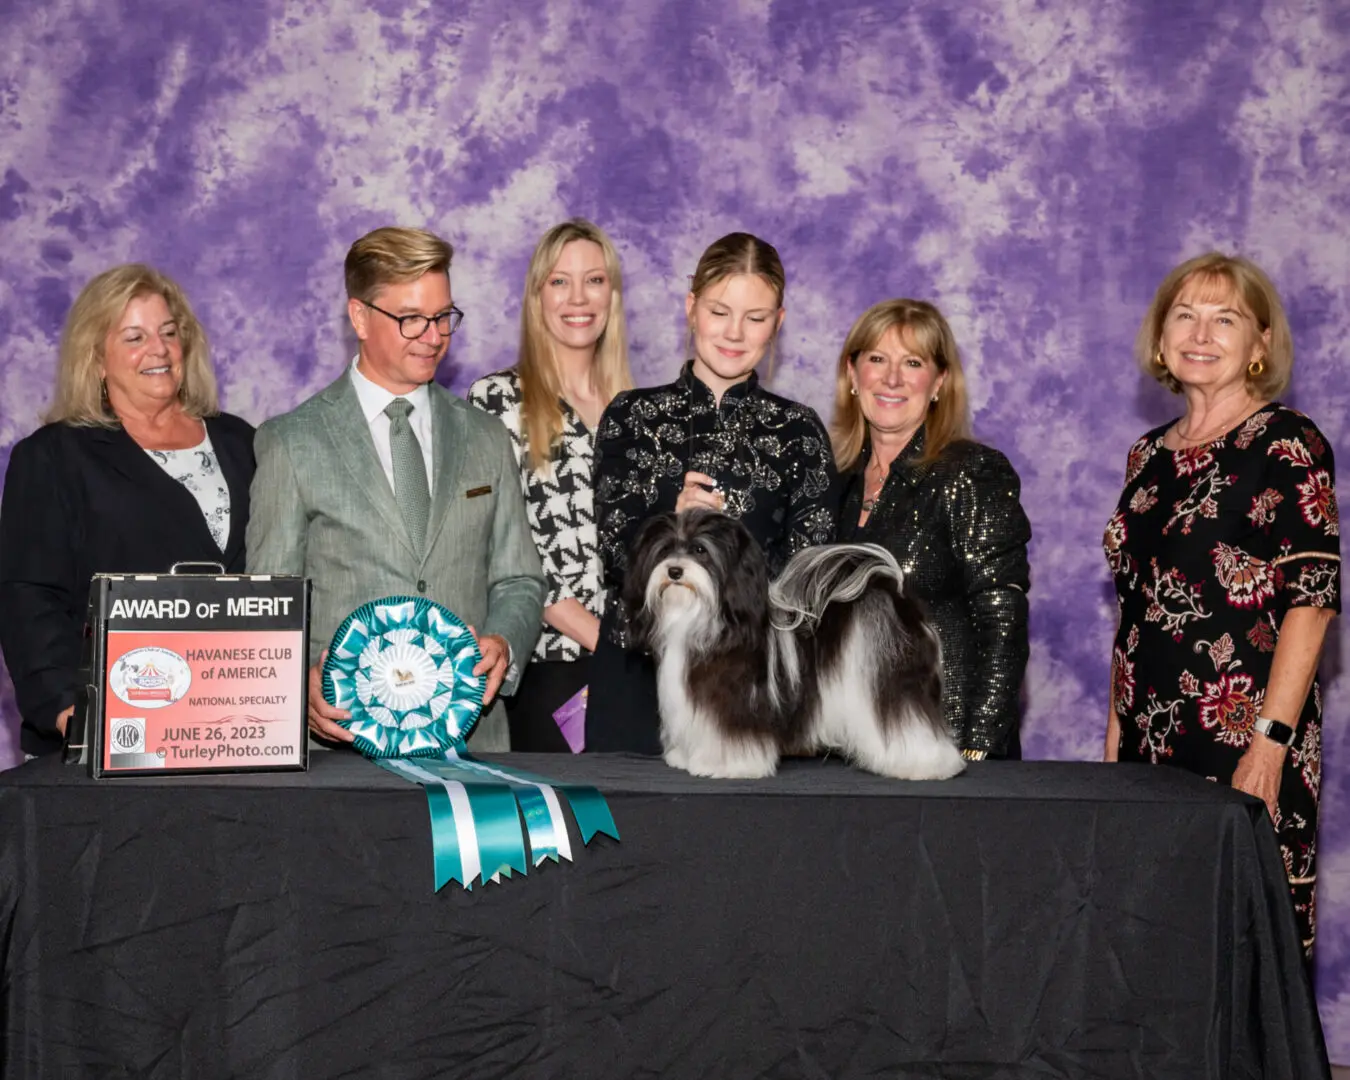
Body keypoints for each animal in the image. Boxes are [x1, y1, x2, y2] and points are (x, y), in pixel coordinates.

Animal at [626, 510, 966, 783]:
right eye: (665, 550)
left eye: (700, 550)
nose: (674, 570)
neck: (698, 617)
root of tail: (894, 590)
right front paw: (685, 757)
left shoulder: (736, 701)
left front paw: (726, 765)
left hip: (894, 682)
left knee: (910, 721)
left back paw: (927, 765)